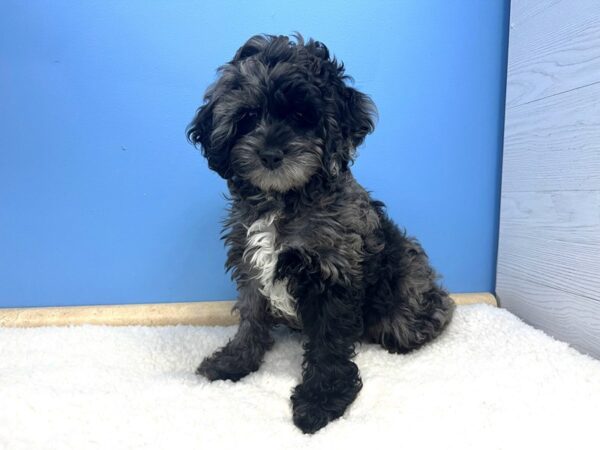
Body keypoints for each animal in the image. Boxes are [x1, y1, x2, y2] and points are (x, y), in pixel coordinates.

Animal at [188, 33, 454, 434]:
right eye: (247, 118)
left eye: (302, 116)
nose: (270, 154)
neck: (283, 200)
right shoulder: (250, 266)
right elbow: (251, 319)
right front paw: (235, 361)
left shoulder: (331, 273)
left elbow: (328, 343)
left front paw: (320, 401)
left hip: (408, 286)